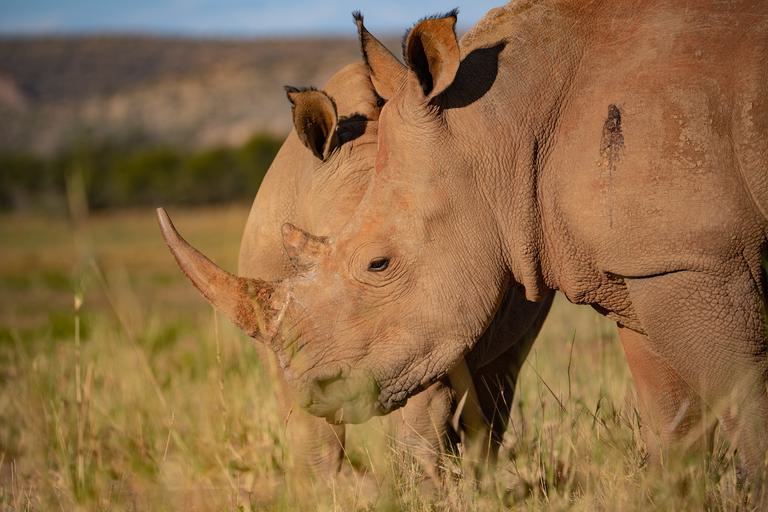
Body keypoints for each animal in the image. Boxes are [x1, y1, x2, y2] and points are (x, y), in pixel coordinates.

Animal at [159, 61, 551, 478]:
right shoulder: (287, 334)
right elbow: (311, 428)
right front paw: (325, 485)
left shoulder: (422, 314)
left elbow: (424, 402)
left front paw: (419, 479)